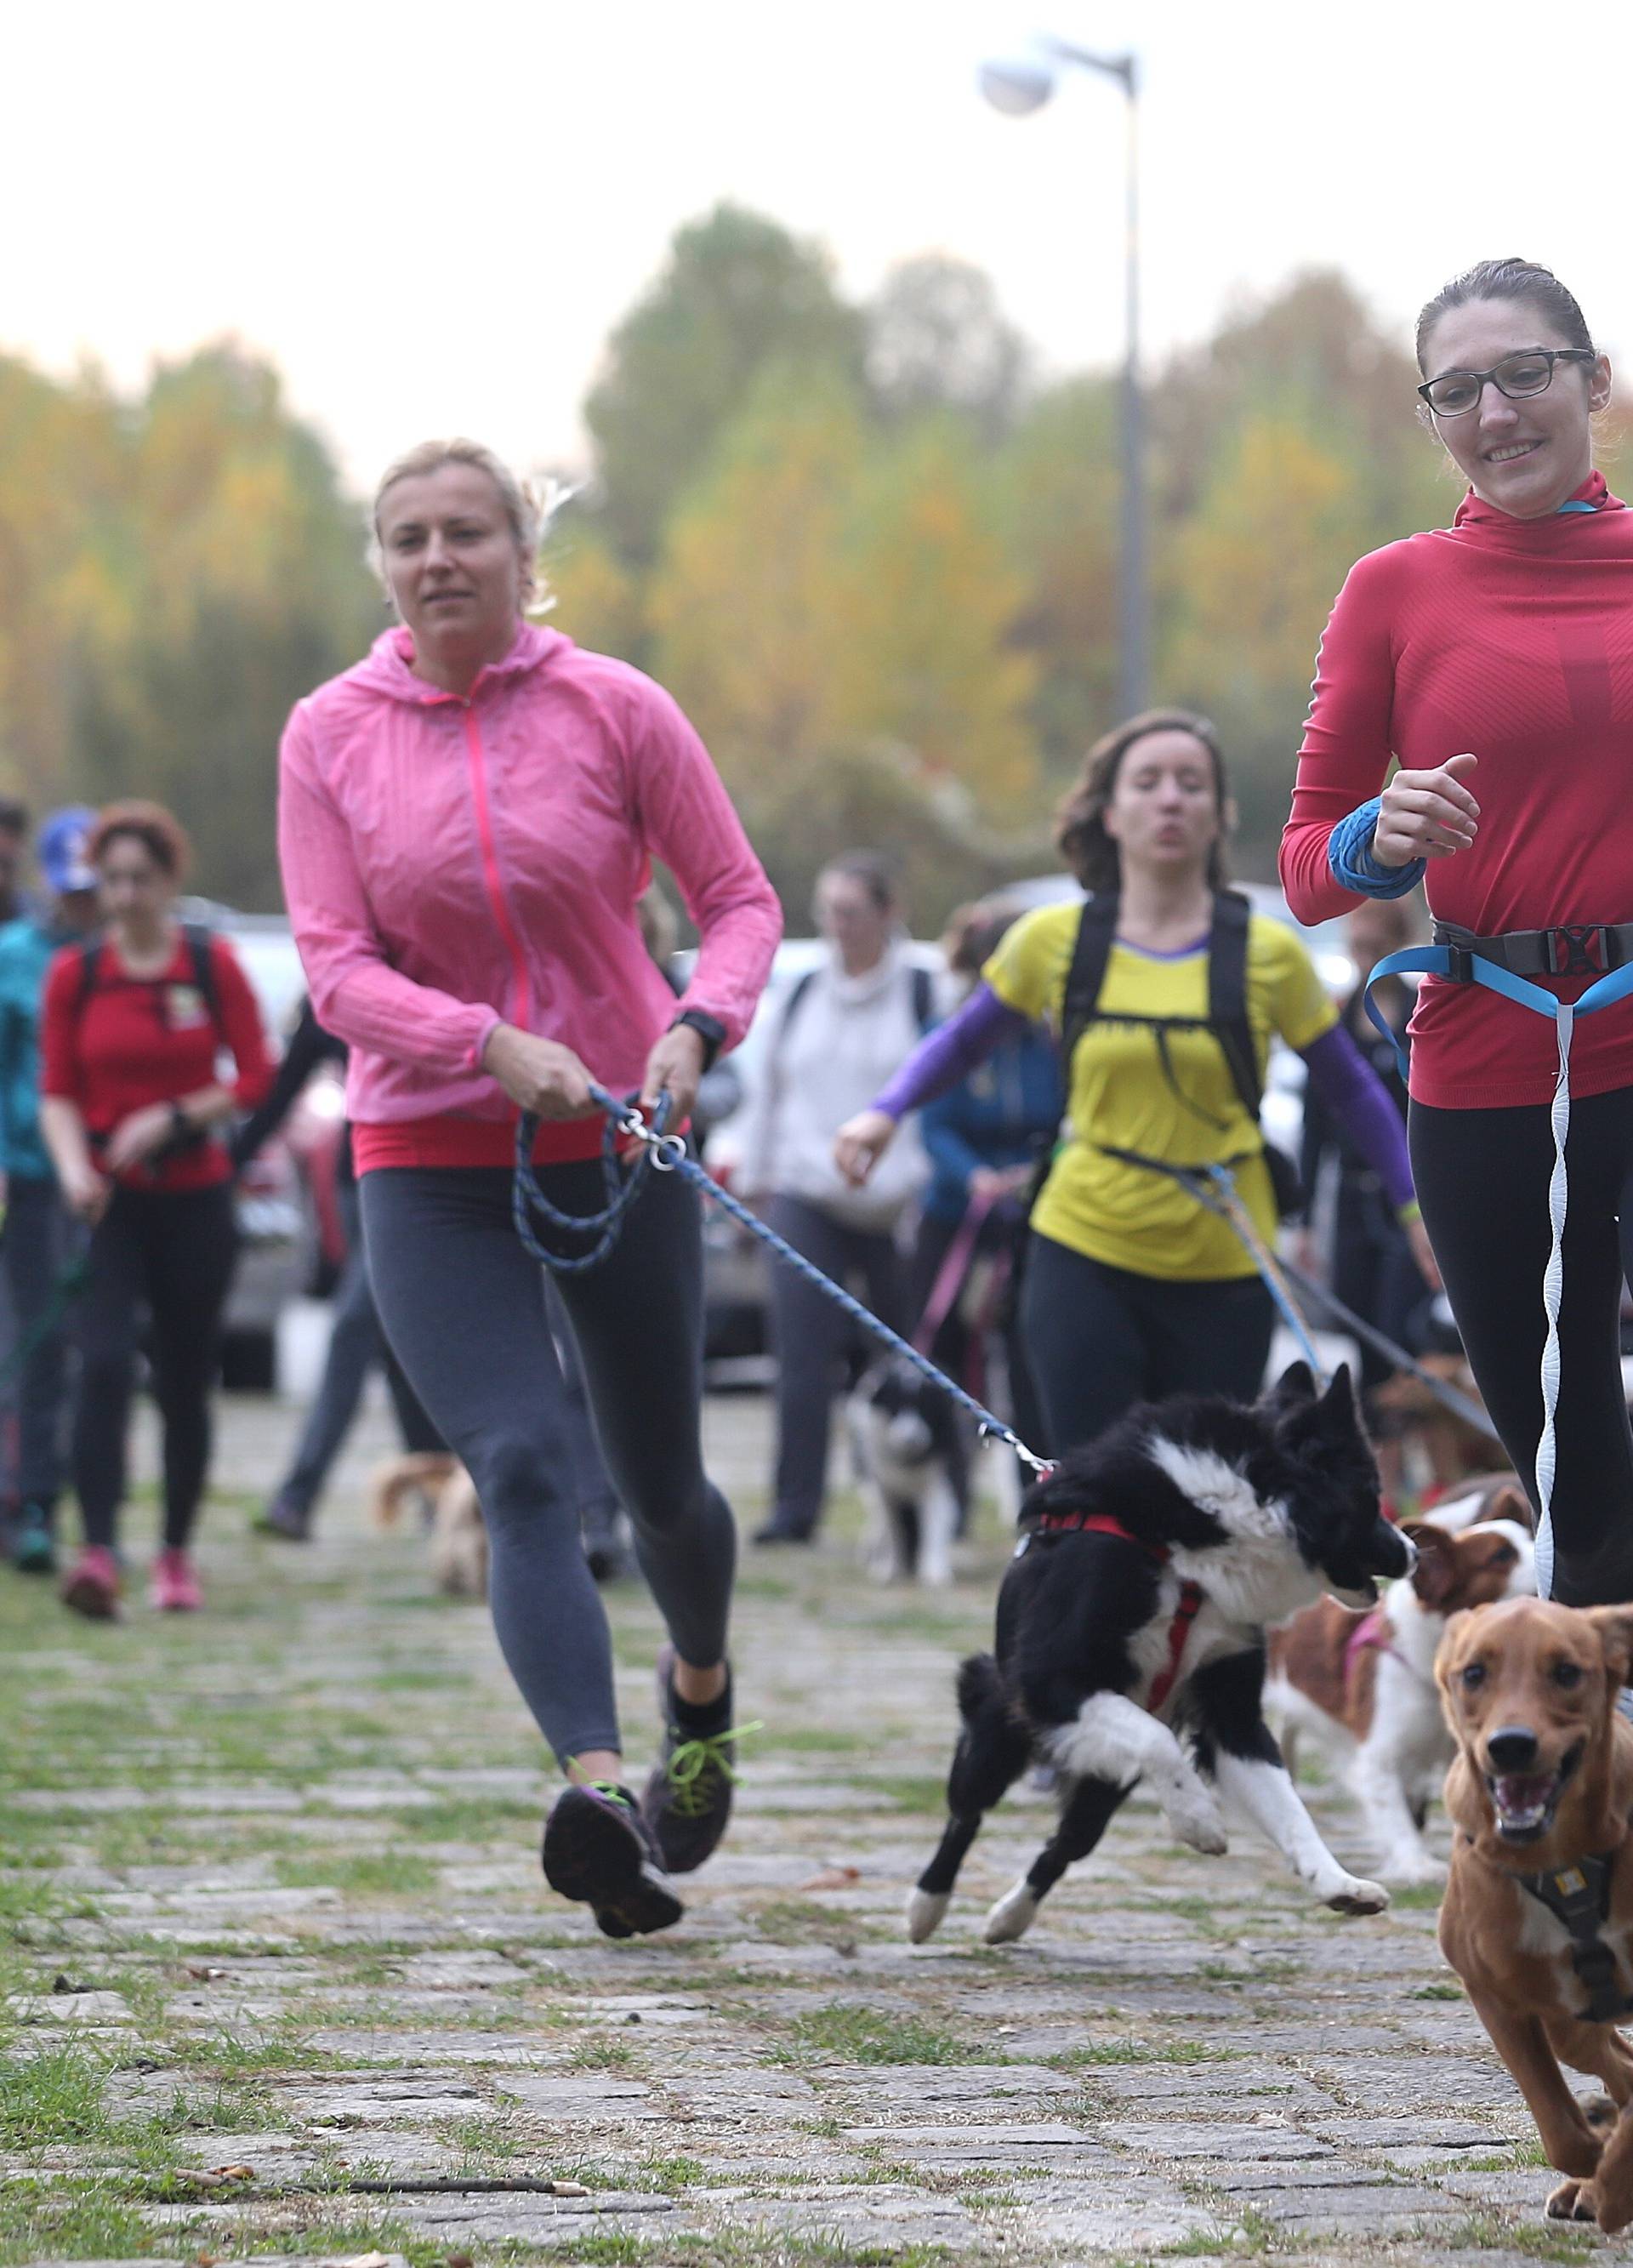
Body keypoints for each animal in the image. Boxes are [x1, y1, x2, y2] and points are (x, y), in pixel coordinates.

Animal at [1433, 1605, 1633, 2222]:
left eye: (1567, 1672)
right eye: (1474, 1673)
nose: (1512, 1745)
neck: (1557, 1860)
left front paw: (1613, 2185)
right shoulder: (1494, 1994)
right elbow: (1560, 2132)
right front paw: (1596, 2161)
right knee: (1595, 2049)